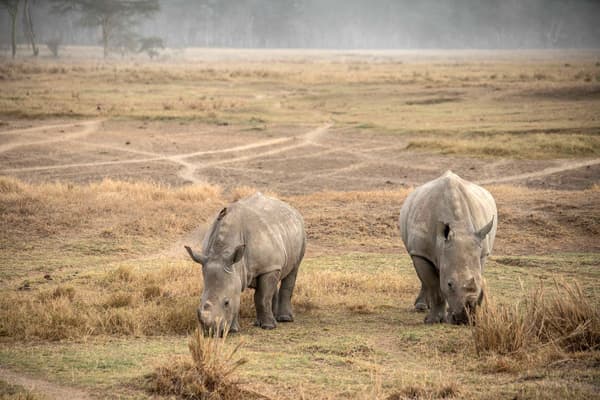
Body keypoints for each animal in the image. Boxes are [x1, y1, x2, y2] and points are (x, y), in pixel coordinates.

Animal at [185, 192, 308, 336]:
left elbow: (261, 297)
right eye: (200, 300)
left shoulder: (267, 267)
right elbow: (241, 295)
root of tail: (292, 209)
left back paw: (284, 319)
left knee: (292, 271)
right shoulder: (231, 267)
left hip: (300, 231)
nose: (211, 332)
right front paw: (233, 330)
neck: (221, 253)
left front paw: (268, 327)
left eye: (226, 302)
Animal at [398, 172, 496, 324]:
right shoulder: (420, 252)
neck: (459, 227)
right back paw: (421, 307)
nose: (465, 319)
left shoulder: (481, 250)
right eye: (449, 284)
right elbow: (433, 284)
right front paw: (434, 320)